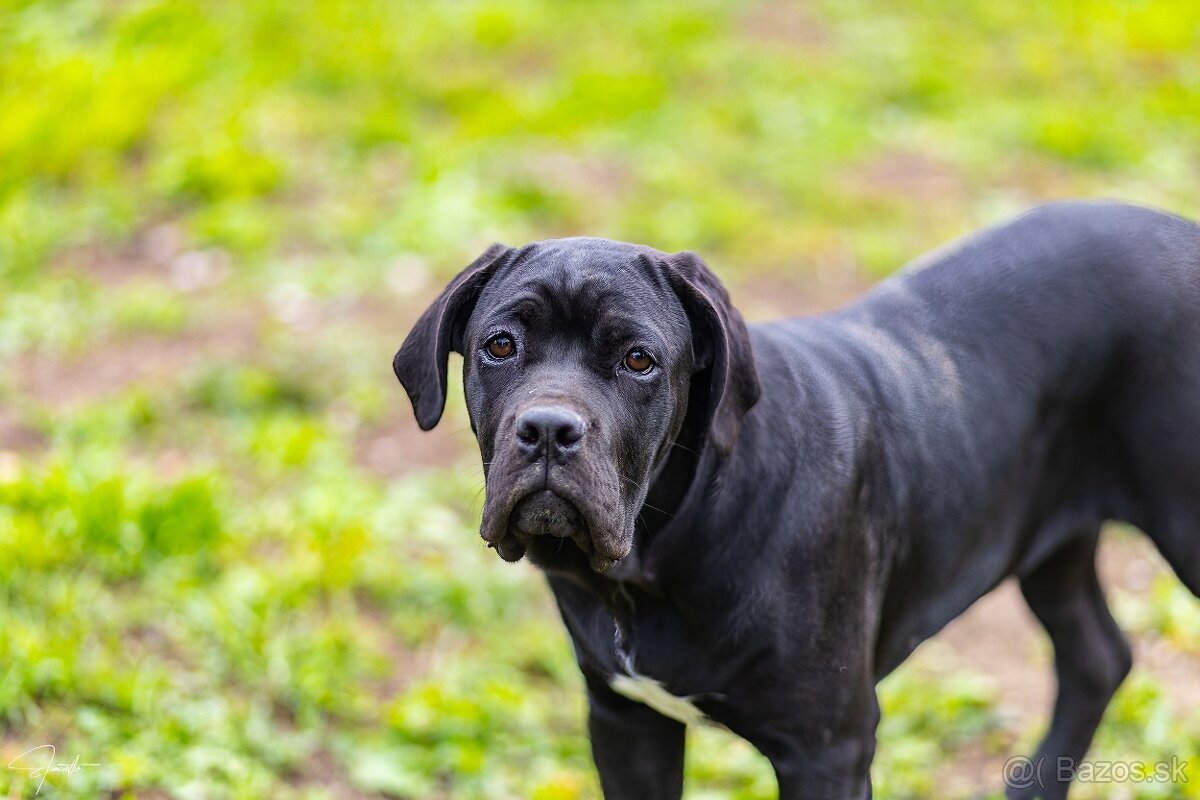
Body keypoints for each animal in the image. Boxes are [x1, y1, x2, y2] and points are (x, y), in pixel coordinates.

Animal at [393, 203, 1200, 796]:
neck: (654, 562)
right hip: (1049, 538)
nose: (549, 430)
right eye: (501, 346)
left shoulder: (828, 747)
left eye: (638, 360)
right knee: (1096, 655)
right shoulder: (625, 721)